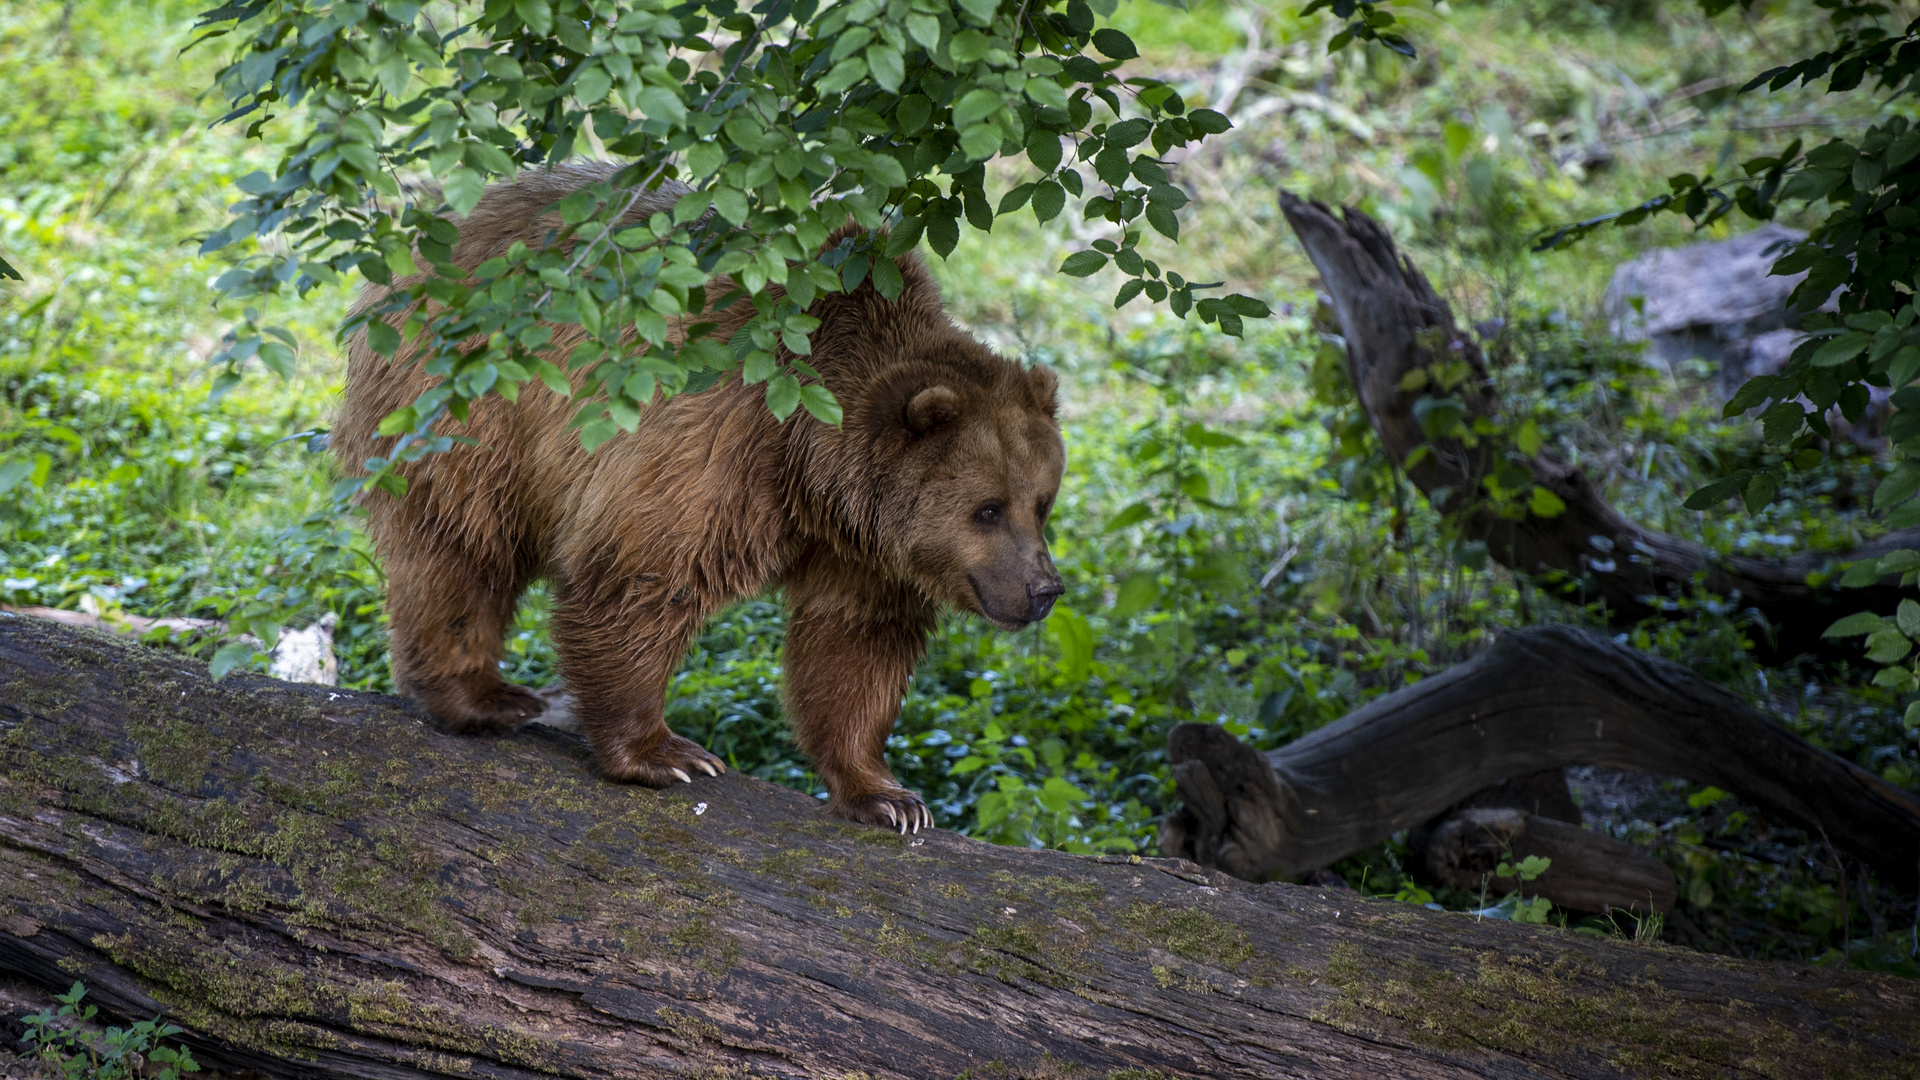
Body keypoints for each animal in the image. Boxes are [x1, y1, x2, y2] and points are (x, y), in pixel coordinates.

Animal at [339, 161, 1075, 834]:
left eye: (1041, 503)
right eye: (987, 508)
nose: (1044, 589)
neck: (811, 468)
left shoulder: (864, 546)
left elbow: (853, 645)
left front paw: (887, 795)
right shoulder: (713, 441)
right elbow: (641, 579)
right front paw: (666, 754)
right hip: (471, 400)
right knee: (463, 541)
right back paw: (484, 696)